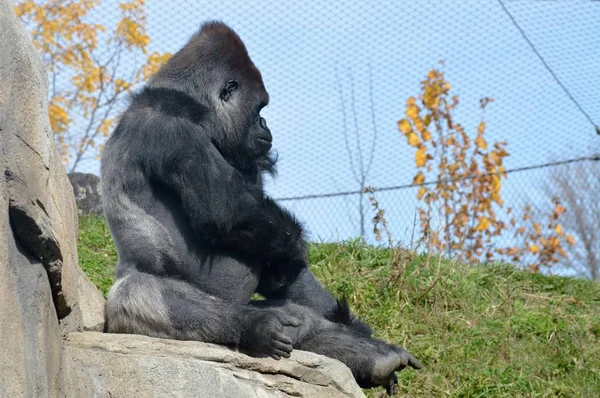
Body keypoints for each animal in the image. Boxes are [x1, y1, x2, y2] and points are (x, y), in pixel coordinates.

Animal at [102, 20, 422, 394]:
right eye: (259, 110)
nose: (266, 126)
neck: (190, 104)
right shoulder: (172, 128)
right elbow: (228, 212)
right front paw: (295, 249)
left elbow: (273, 255)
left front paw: (354, 327)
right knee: (141, 292)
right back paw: (256, 327)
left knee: (298, 316)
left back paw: (370, 356)